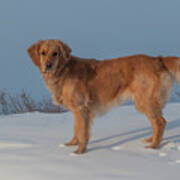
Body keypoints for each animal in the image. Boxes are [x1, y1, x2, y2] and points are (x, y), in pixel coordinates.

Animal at [27, 39, 180, 153]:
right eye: (43, 53)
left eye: (55, 53)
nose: (48, 65)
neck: (63, 70)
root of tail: (158, 59)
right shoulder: (78, 110)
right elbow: (76, 129)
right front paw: (71, 144)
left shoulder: (81, 108)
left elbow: (82, 132)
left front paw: (79, 151)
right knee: (156, 123)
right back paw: (150, 140)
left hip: (144, 100)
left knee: (160, 122)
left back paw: (154, 146)